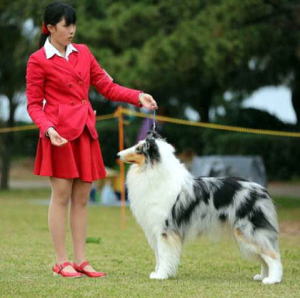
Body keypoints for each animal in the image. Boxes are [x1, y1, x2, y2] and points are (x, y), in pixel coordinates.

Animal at [116, 132, 282, 282]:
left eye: (138, 148)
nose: (117, 155)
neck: (153, 173)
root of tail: (262, 190)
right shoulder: (155, 230)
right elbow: (158, 255)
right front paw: (158, 273)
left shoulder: (165, 230)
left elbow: (163, 254)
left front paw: (161, 275)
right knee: (264, 257)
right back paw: (262, 276)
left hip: (249, 231)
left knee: (273, 255)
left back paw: (272, 279)